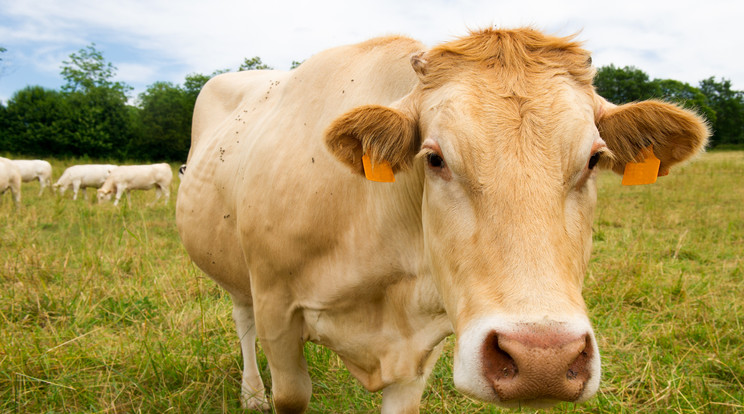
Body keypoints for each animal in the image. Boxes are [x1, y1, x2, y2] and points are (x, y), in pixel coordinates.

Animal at [176, 27, 708, 412]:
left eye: (595, 159)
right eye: (434, 158)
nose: (543, 359)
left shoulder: (420, 349)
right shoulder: (278, 313)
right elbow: (288, 391)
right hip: (237, 275)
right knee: (242, 320)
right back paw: (251, 393)